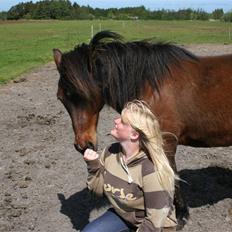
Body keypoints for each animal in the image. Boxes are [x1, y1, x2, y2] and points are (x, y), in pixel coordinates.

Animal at [52, 30, 232, 228]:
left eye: (84, 95)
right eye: (61, 98)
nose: (83, 145)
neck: (152, 86)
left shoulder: (165, 144)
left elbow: (171, 177)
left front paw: (180, 216)